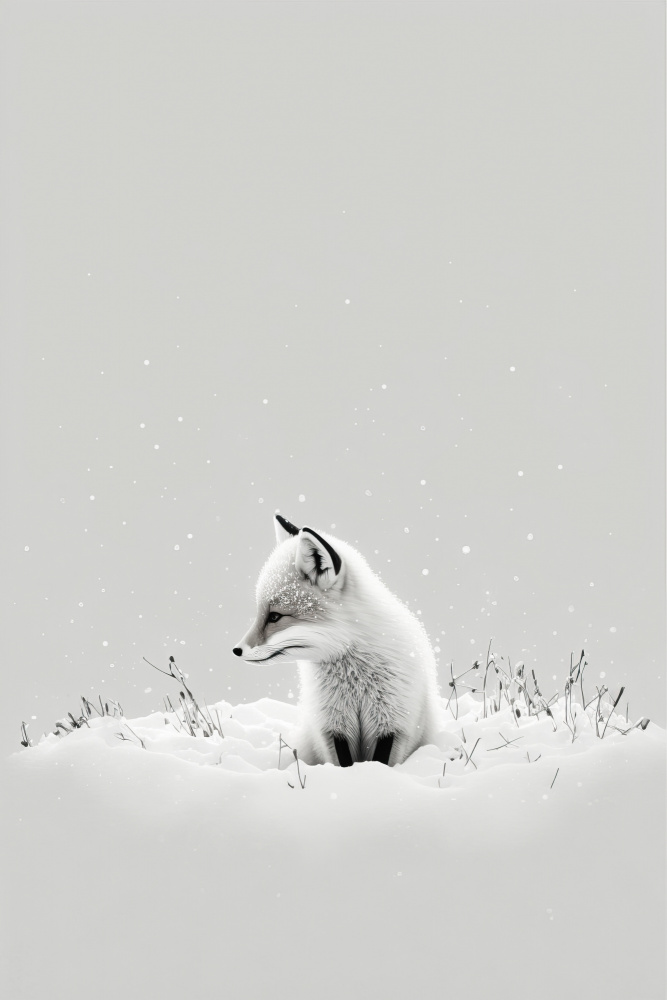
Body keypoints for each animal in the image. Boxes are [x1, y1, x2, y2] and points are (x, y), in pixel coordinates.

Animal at [232, 514, 441, 767]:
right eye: (261, 613)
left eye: (274, 616)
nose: (236, 650)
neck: (355, 680)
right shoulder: (332, 726)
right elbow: (344, 763)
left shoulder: (392, 723)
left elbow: (380, 762)